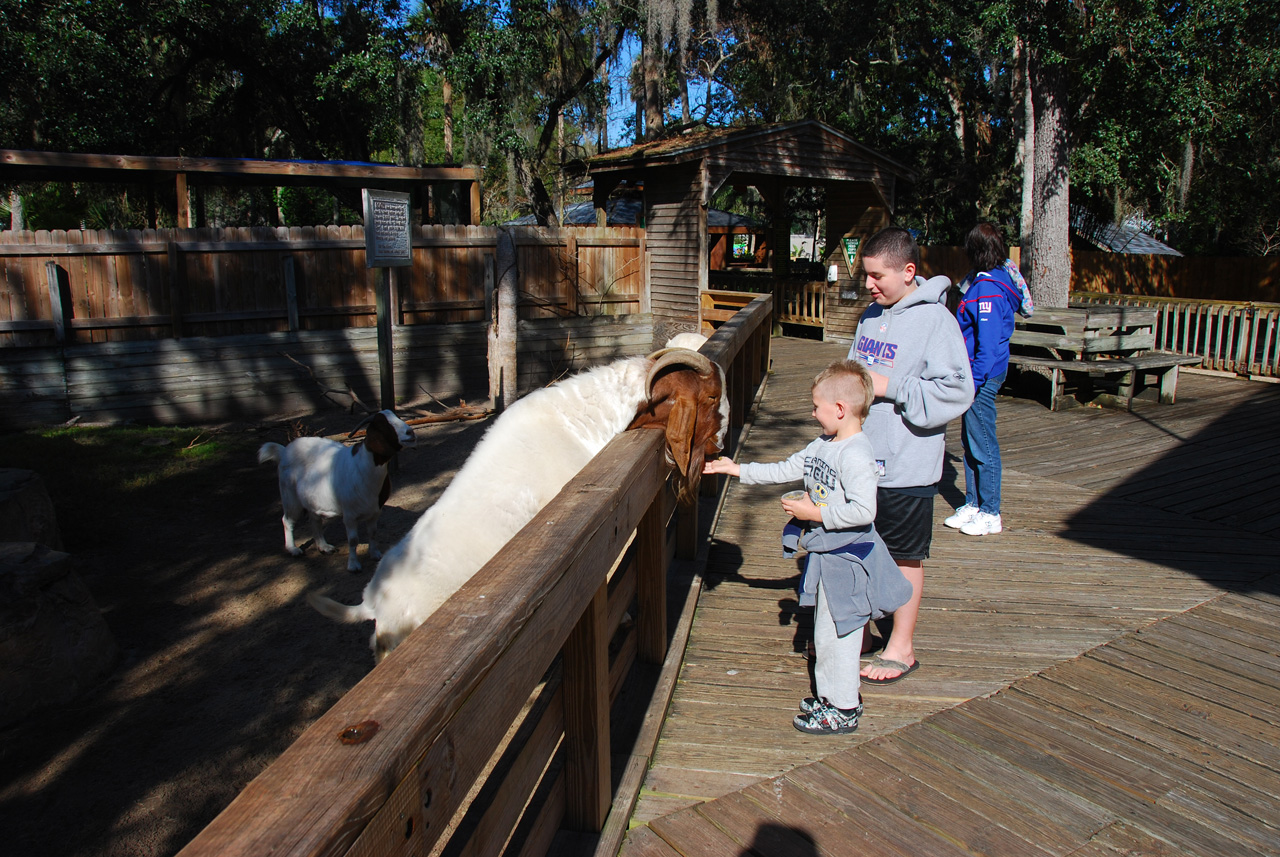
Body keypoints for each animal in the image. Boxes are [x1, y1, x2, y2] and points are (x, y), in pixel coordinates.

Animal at [257, 411, 417, 573]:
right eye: (382, 425)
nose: (410, 433)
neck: (362, 466)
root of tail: (283, 451)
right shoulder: (350, 515)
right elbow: (353, 540)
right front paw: (353, 565)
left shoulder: (376, 511)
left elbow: (372, 533)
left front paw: (375, 554)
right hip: (290, 497)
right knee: (287, 520)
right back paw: (293, 549)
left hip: (312, 499)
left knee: (315, 520)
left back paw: (324, 547)